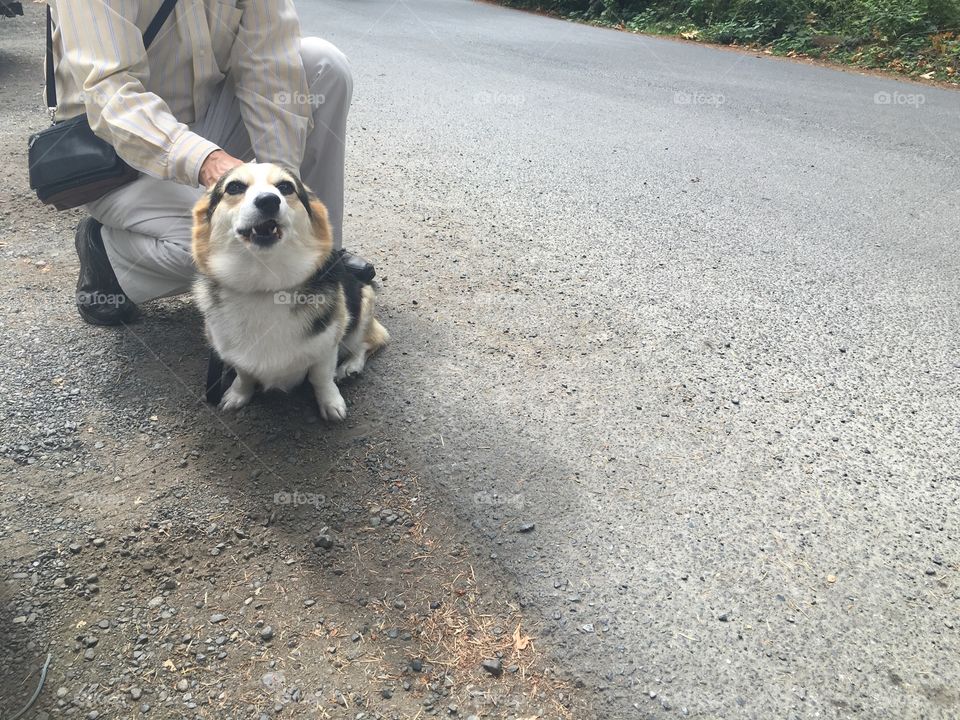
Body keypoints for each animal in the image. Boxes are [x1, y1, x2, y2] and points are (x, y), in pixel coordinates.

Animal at [189, 162, 388, 422]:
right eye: (234, 187)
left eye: (285, 187)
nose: (268, 201)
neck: (265, 285)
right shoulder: (234, 352)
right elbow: (244, 375)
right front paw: (237, 394)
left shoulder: (327, 346)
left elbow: (321, 378)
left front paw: (331, 404)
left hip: (362, 307)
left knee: (370, 341)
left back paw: (351, 367)